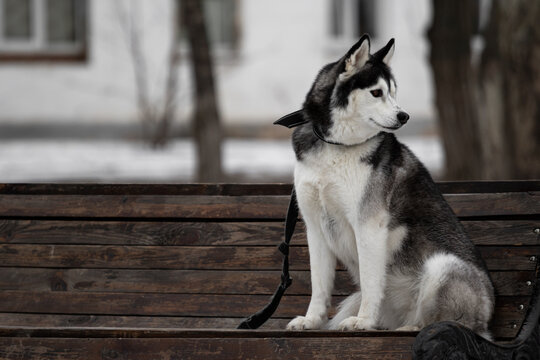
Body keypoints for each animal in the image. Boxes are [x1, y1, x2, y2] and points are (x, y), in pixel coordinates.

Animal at [284, 35, 496, 336]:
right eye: (376, 93)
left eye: (394, 92)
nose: (404, 116)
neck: (336, 146)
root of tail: (486, 318)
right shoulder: (315, 228)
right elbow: (319, 285)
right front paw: (311, 320)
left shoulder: (369, 225)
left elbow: (371, 282)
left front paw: (363, 322)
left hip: (442, 265)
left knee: (444, 322)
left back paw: (411, 328)